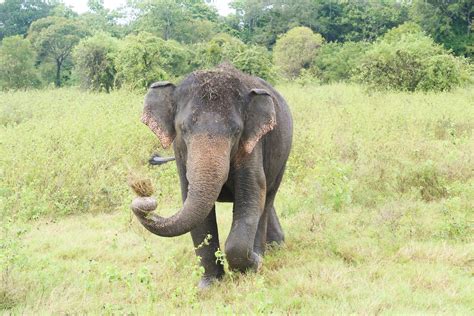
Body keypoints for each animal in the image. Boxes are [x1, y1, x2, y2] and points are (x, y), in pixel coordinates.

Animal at [131, 64, 292, 288]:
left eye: (236, 131)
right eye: (183, 129)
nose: (144, 195)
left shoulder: (252, 146)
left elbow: (252, 196)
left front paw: (254, 265)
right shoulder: (180, 152)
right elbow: (194, 207)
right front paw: (209, 286)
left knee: (267, 199)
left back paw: (264, 252)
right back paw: (274, 246)